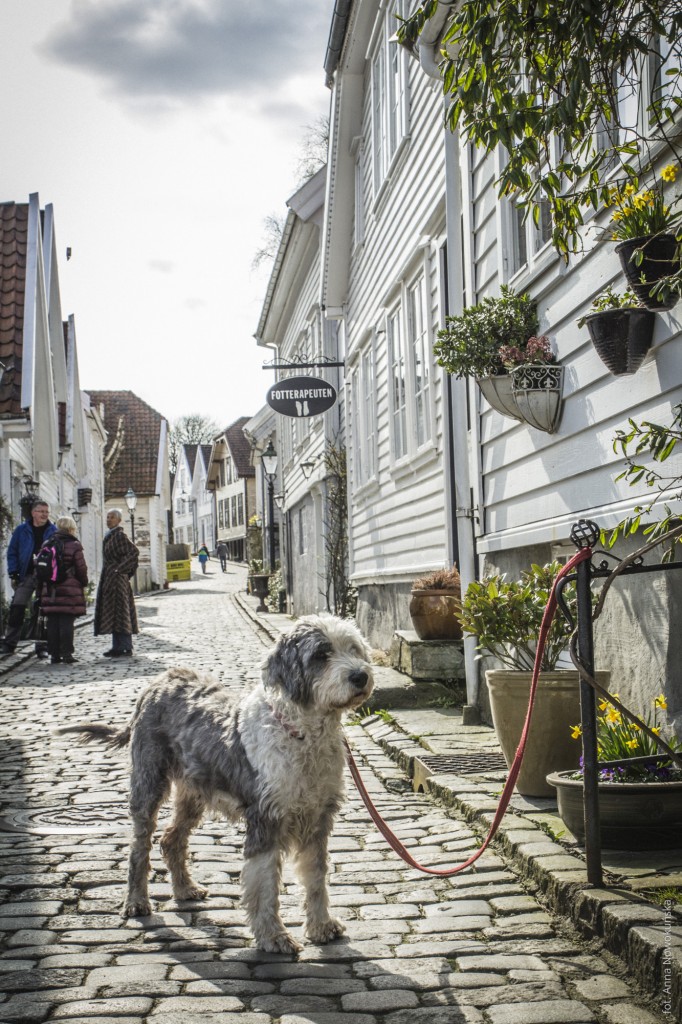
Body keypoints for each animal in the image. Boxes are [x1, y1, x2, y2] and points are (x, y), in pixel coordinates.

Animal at [59, 610, 372, 954]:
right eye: (321, 654)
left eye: (354, 648)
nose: (360, 676)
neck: (303, 734)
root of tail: (159, 682)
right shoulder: (266, 819)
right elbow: (264, 886)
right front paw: (274, 937)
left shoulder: (318, 819)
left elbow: (315, 879)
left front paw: (321, 927)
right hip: (148, 784)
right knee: (140, 846)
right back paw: (136, 901)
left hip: (193, 792)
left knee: (171, 839)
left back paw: (185, 889)